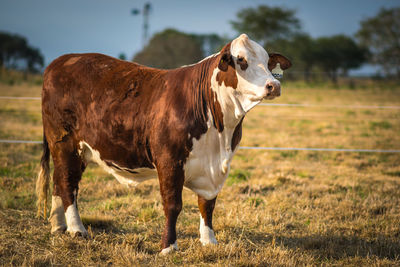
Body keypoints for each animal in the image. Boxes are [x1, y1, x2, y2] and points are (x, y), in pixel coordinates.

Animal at [36, 34, 290, 255]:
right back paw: (77, 229)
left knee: (59, 181)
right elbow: (173, 205)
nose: (273, 85)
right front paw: (169, 247)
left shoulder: (214, 168)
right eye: (241, 61)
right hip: (65, 144)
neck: (219, 132)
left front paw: (209, 241)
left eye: (267, 61)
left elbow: (207, 204)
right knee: (67, 184)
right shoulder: (169, 161)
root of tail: (61, 61)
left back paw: (58, 226)